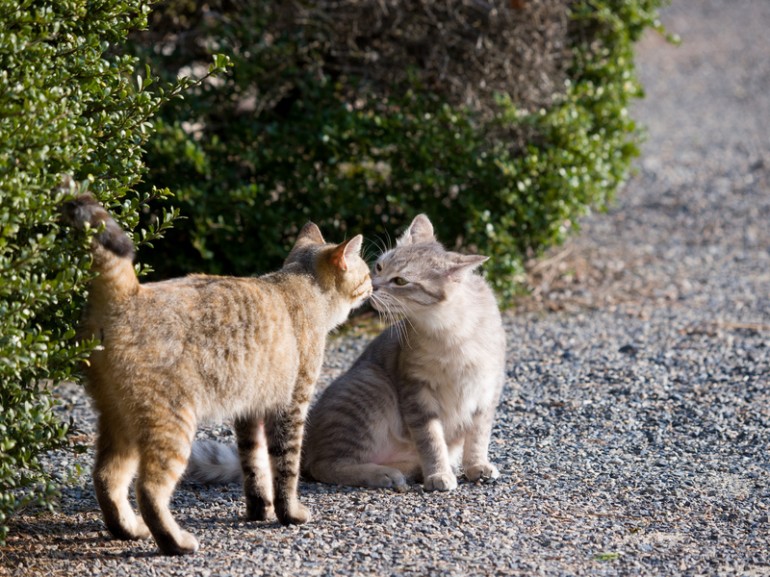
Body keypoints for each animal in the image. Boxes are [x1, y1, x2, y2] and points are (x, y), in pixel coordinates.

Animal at [63, 195, 368, 552]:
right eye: (365, 272)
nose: (374, 283)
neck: (301, 286)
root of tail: (128, 293)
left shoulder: (249, 410)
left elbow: (254, 466)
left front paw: (259, 510)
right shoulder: (291, 405)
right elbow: (285, 467)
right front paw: (289, 513)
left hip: (118, 422)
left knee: (106, 477)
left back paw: (128, 529)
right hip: (171, 426)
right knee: (148, 490)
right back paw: (175, 542)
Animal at [187, 214, 508, 492]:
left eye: (400, 281)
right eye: (379, 267)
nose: (373, 288)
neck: (451, 332)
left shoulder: (488, 391)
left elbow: (478, 437)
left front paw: (476, 466)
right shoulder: (416, 391)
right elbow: (431, 439)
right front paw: (439, 472)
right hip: (372, 387)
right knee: (323, 465)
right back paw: (382, 473)